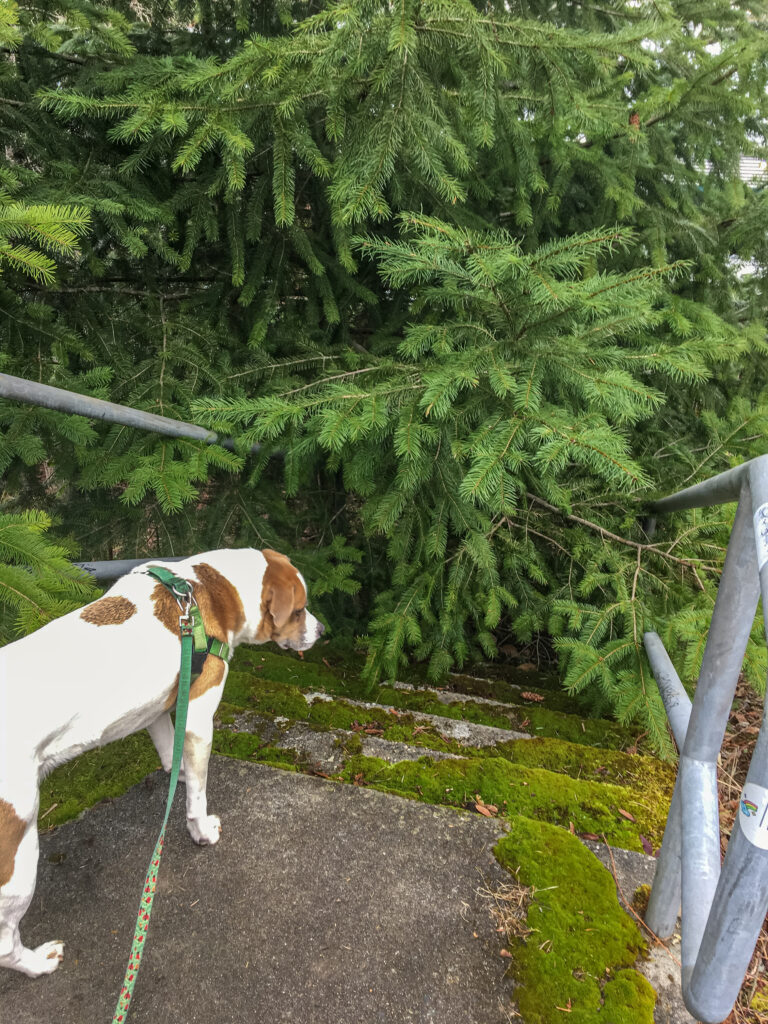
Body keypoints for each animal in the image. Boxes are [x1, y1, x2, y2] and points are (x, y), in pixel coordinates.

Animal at [0, 548, 323, 978]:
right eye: (299, 610)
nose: (323, 631)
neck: (210, 588)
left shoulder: (157, 709)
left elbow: (173, 756)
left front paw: (178, 776)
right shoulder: (200, 716)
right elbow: (198, 797)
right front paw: (202, 831)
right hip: (18, 854)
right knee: (6, 942)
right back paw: (39, 963)